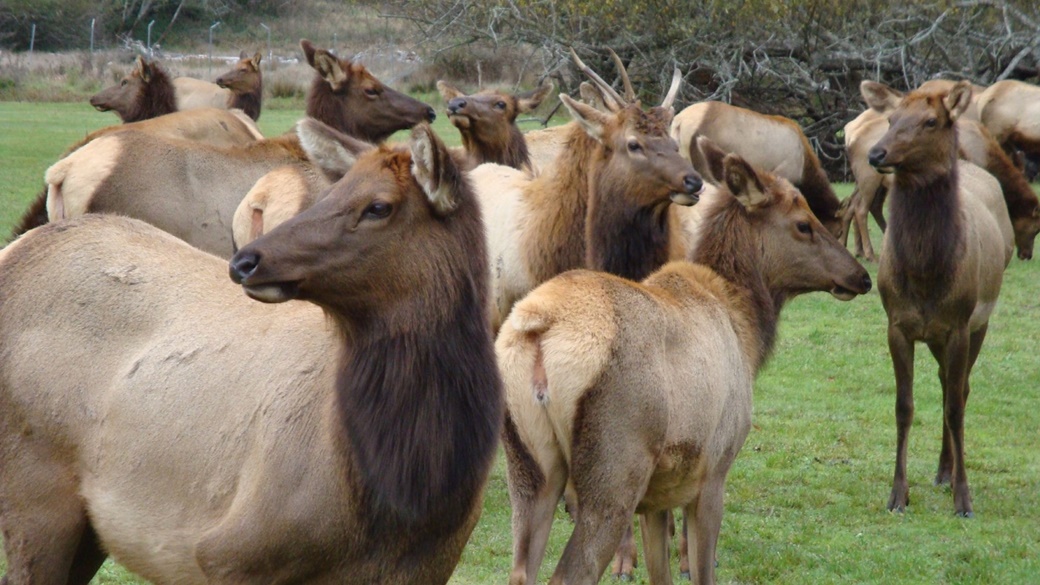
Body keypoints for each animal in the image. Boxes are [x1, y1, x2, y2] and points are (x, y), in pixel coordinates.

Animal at [0, 123, 501, 582]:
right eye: (329, 192)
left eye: (379, 206)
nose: (245, 261)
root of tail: (16, 250)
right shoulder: (234, 551)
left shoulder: (428, 565)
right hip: (33, 494)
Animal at [495, 135, 869, 582]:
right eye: (802, 223)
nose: (860, 276)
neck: (746, 330)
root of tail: (539, 327)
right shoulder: (715, 470)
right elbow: (701, 569)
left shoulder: (658, 498)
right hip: (614, 470)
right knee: (572, 571)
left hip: (530, 469)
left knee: (520, 569)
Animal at [865, 78, 1010, 514]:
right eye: (891, 118)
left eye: (931, 121)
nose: (875, 153)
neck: (926, 275)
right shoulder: (898, 324)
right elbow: (904, 406)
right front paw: (898, 494)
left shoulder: (959, 323)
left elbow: (955, 407)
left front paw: (964, 498)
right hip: (935, 336)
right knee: (948, 382)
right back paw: (942, 469)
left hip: (980, 322)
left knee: (959, 389)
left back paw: (949, 473)